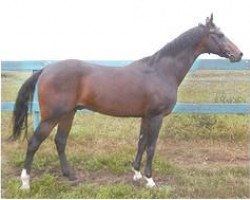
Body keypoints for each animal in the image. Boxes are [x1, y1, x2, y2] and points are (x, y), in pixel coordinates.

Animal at [11, 14, 242, 189]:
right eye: (219, 35)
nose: (239, 54)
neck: (161, 71)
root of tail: (46, 69)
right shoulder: (156, 117)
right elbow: (151, 146)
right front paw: (150, 180)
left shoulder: (146, 117)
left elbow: (141, 143)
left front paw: (137, 174)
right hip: (52, 116)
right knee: (34, 143)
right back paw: (25, 182)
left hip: (68, 114)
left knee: (60, 141)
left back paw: (70, 175)